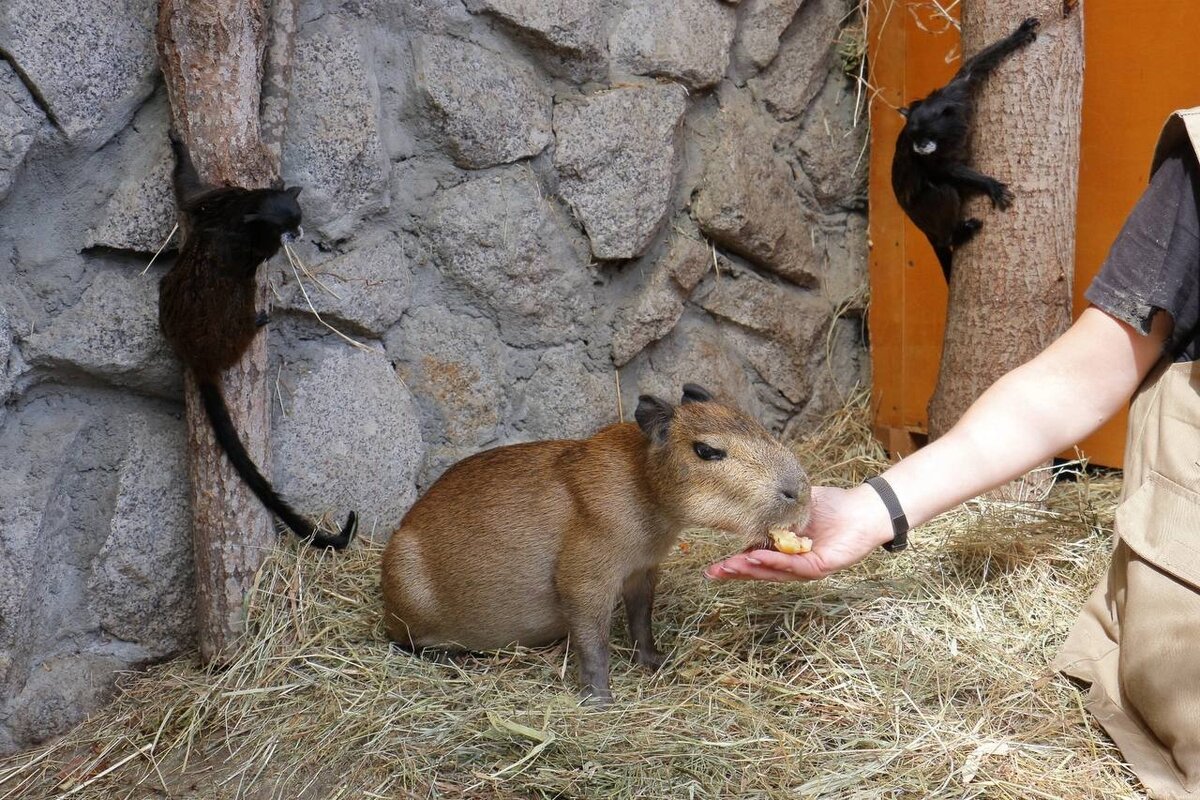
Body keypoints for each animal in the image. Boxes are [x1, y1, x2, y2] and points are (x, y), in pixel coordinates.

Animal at [159, 134, 357, 554]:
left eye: (297, 220)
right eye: (287, 227)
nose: (297, 234)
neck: (247, 210)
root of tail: (198, 356)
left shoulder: (217, 197)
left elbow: (188, 194)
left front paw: (179, 146)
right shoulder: (243, 217)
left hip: (164, 299)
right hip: (233, 324)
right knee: (243, 300)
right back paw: (256, 322)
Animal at [892, 17, 1041, 283]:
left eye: (927, 135)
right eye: (915, 137)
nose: (920, 146)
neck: (948, 133)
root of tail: (914, 220)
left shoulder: (957, 93)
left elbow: (973, 69)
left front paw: (1018, 35)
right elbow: (944, 170)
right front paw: (990, 184)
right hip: (922, 210)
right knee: (944, 193)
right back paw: (955, 235)